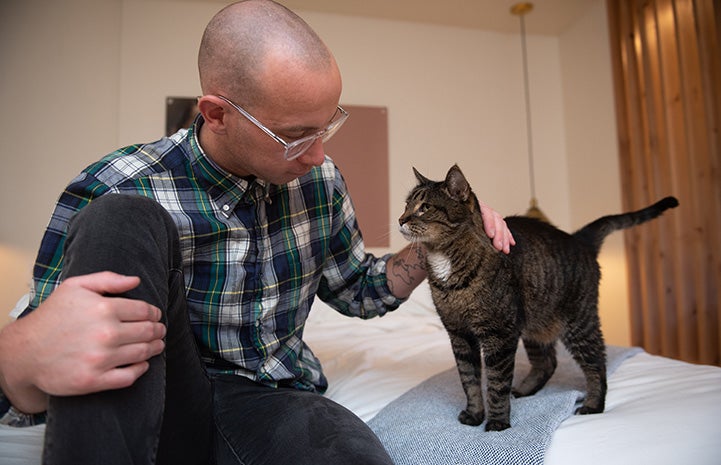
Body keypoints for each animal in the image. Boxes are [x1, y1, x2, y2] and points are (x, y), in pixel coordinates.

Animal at [396, 164, 676, 432]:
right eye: (406, 205)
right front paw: (475, 414)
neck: (444, 263)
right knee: (547, 363)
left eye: (425, 207)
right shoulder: (459, 335)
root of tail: (578, 238)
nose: (400, 219)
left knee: (597, 362)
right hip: (534, 326)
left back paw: (593, 405)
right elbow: (470, 380)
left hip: (579, 323)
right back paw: (524, 389)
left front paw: (497, 423)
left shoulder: (499, 334)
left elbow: (496, 383)